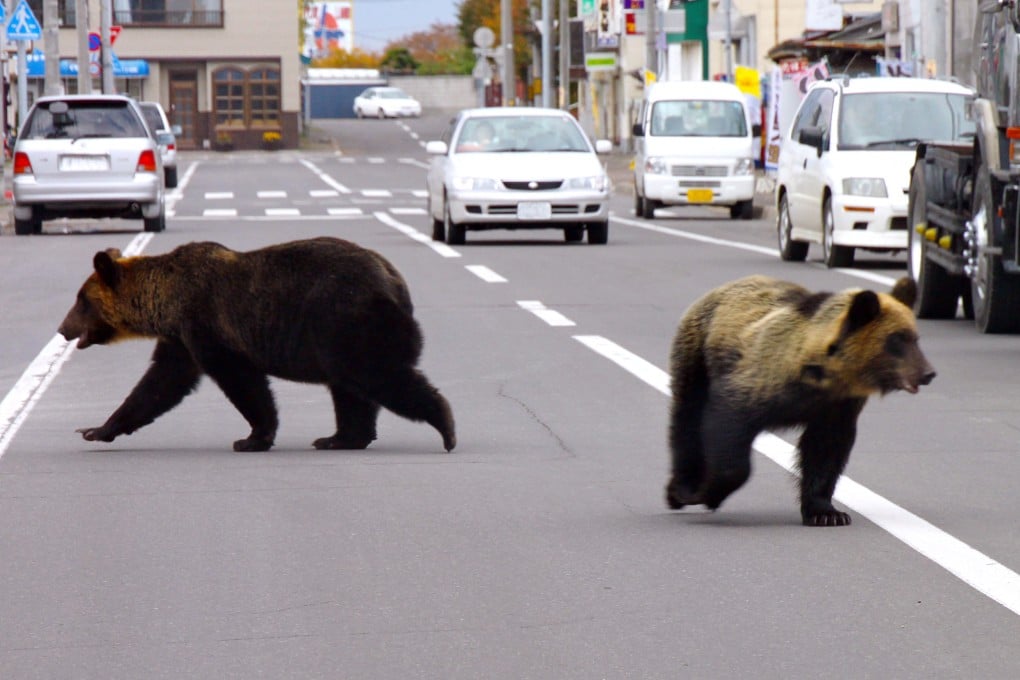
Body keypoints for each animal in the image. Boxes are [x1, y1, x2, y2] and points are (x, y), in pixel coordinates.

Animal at [57, 237, 456, 453]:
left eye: (81, 300)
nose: (62, 329)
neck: (165, 302)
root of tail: (395, 281)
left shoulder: (206, 325)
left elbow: (241, 381)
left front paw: (252, 437)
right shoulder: (180, 339)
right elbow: (159, 384)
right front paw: (96, 429)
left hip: (345, 319)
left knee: (377, 375)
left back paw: (446, 426)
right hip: (340, 333)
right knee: (350, 388)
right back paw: (339, 437)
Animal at [665, 275, 935, 526]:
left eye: (915, 337)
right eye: (897, 338)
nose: (928, 373)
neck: (821, 375)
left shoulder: (837, 406)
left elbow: (825, 451)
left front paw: (827, 513)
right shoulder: (758, 381)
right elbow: (728, 426)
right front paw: (708, 493)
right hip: (697, 355)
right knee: (687, 417)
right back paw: (681, 488)